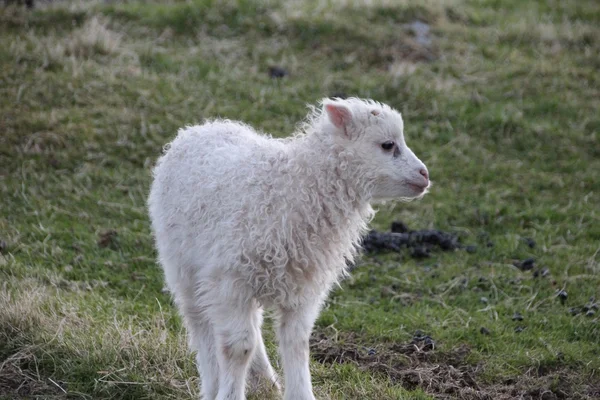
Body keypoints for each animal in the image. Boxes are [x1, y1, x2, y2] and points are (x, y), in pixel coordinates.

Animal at [147, 97, 428, 400]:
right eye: (388, 145)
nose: (424, 175)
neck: (294, 188)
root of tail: (201, 128)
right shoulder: (229, 281)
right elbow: (237, 347)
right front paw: (230, 394)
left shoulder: (304, 286)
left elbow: (297, 342)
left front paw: (300, 394)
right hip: (182, 265)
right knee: (199, 322)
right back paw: (212, 385)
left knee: (254, 326)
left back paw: (265, 380)